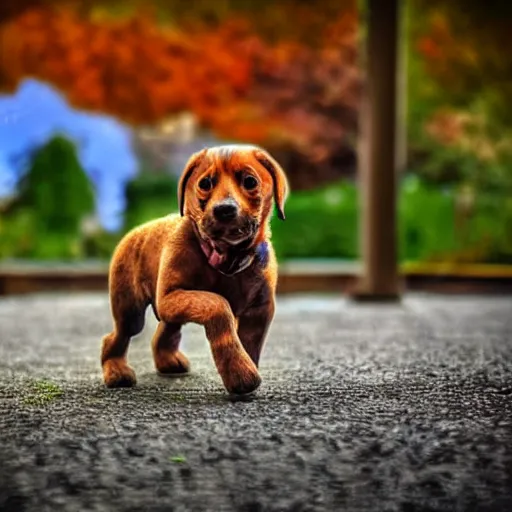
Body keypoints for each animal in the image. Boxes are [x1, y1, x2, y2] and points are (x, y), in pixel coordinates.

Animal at [100, 144, 288, 396]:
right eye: (205, 183)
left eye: (250, 181)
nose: (224, 210)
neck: (228, 258)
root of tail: (136, 230)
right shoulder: (171, 297)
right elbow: (218, 304)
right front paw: (241, 373)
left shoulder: (260, 309)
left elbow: (250, 345)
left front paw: (244, 368)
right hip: (131, 310)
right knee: (117, 336)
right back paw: (116, 370)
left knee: (165, 331)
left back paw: (168, 362)